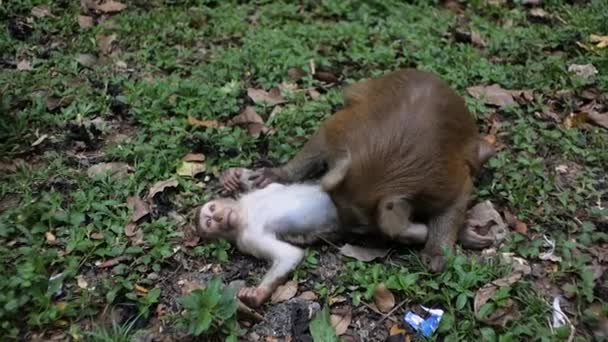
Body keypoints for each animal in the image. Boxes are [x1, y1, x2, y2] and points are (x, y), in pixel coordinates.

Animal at [223, 69, 494, 272]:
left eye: (362, 230)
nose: (337, 233)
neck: (388, 169)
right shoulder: (345, 137)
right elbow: (324, 137)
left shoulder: (440, 181)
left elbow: (457, 198)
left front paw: (437, 251)